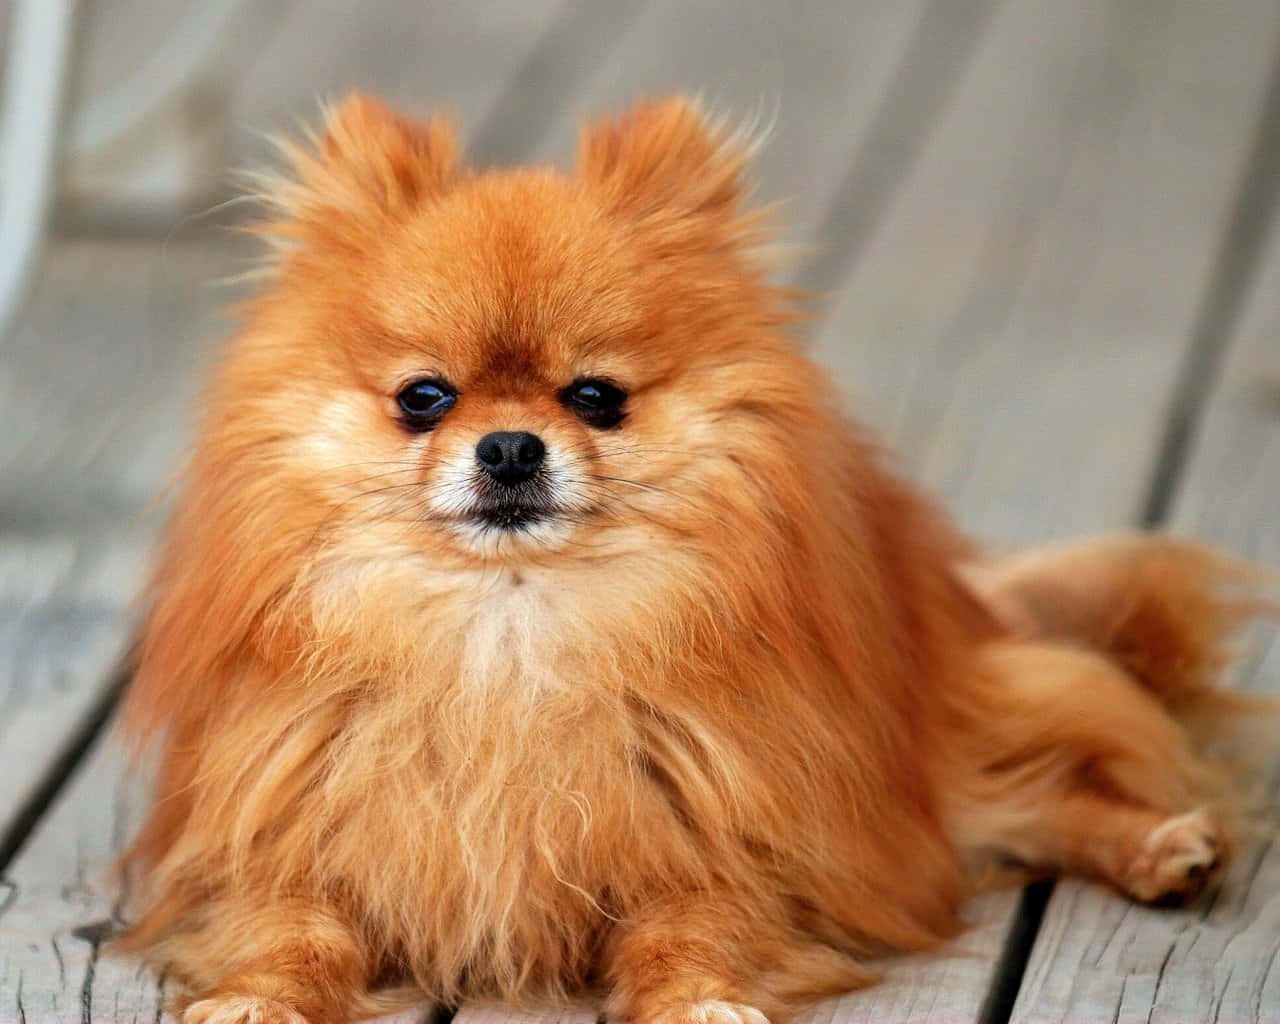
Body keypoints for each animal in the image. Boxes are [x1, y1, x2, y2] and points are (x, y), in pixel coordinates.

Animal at [120, 96, 1269, 1024]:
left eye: (595, 397)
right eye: (424, 398)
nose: (509, 447)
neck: (507, 635)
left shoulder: (728, 839)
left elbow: (689, 933)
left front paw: (699, 1001)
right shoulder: (284, 842)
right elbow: (288, 934)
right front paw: (256, 1000)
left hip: (923, 755)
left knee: (1037, 787)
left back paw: (1162, 846)